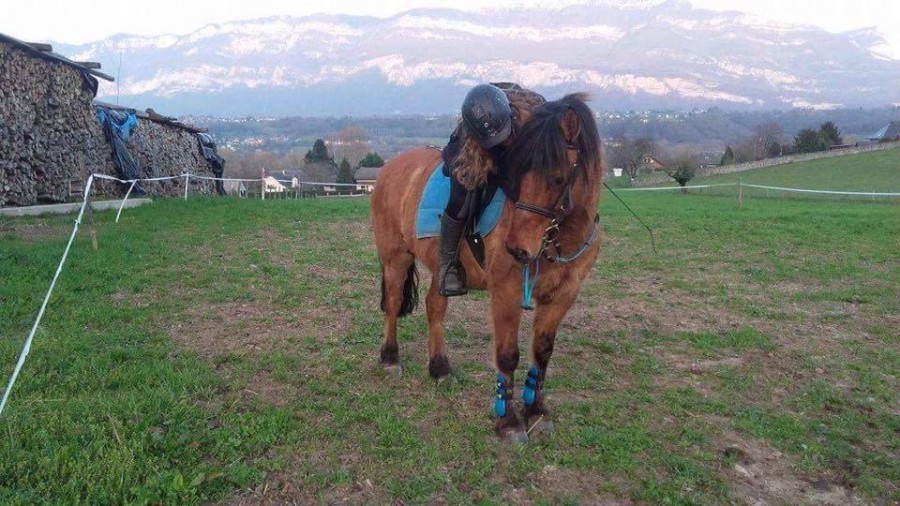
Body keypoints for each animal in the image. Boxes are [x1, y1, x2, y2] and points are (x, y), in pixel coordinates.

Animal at [370, 93, 603, 442]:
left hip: (442, 268)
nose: (517, 248)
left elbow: (542, 351)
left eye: (559, 177)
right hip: (395, 257)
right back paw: (389, 359)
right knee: (394, 303)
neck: (559, 239)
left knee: (434, 306)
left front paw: (537, 411)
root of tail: (390, 168)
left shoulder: (563, 295)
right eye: (517, 173)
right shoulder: (506, 291)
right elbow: (508, 355)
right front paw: (508, 422)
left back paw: (440, 368)